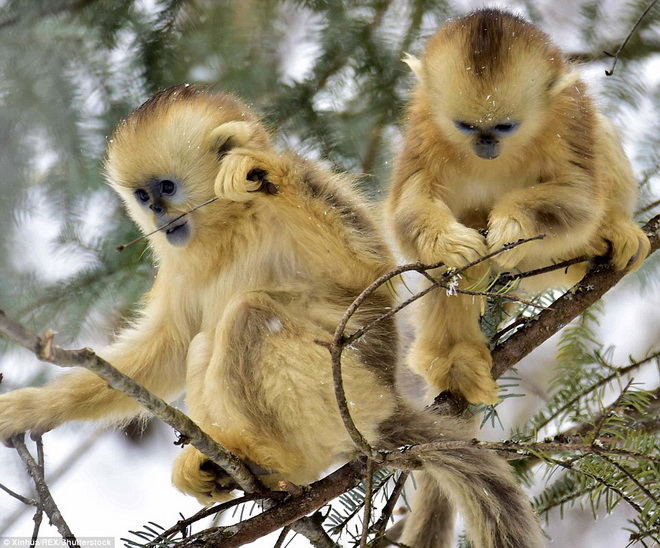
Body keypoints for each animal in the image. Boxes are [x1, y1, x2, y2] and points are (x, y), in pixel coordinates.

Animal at [0, 85, 540, 548]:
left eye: (166, 188)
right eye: (142, 196)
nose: (158, 216)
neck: (228, 227)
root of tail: (388, 403)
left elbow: (366, 273)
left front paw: (260, 174)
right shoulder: (178, 261)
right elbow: (168, 348)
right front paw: (30, 408)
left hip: (348, 392)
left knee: (248, 314)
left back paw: (273, 462)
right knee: (202, 341)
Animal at [386, 7, 648, 402]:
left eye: (505, 126)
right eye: (466, 126)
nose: (486, 146)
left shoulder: (568, 118)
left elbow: (579, 195)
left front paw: (512, 227)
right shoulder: (424, 129)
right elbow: (408, 207)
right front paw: (453, 243)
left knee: (601, 137)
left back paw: (606, 236)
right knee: (451, 269)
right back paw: (455, 361)